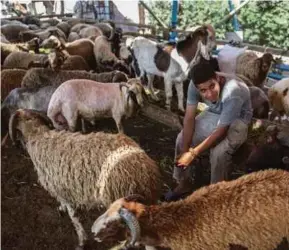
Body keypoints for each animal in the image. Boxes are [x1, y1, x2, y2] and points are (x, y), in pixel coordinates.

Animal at [9, 108, 161, 249]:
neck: (38, 135)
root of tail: (143, 168)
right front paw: (61, 209)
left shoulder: (62, 188)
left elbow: (74, 217)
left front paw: (81, 241)